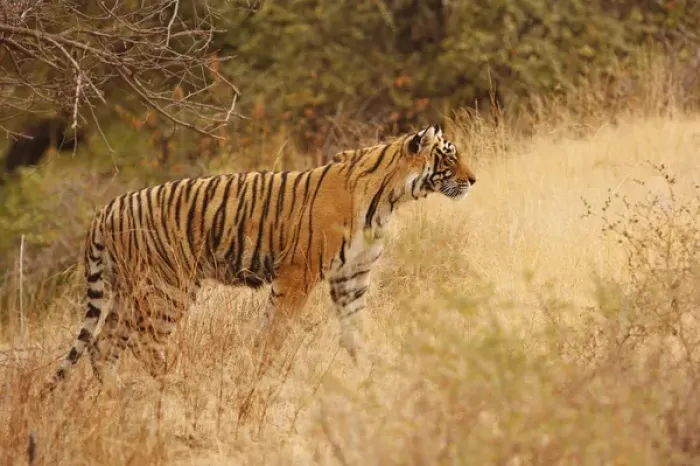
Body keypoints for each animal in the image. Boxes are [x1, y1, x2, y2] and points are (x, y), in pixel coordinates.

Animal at [40, 124, 477, 395]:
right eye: (448, 158)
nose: (473, 180)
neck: (389, 200)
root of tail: (105, 209)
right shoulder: (298, 275)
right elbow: (274, 333)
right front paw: (261, 376)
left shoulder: (352, 277)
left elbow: (354, 332)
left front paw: (368, 373)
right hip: (166, 287)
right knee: (143, 343)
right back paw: (173, 384)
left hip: (128, 291)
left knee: (101, 345)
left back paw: (118, 396)